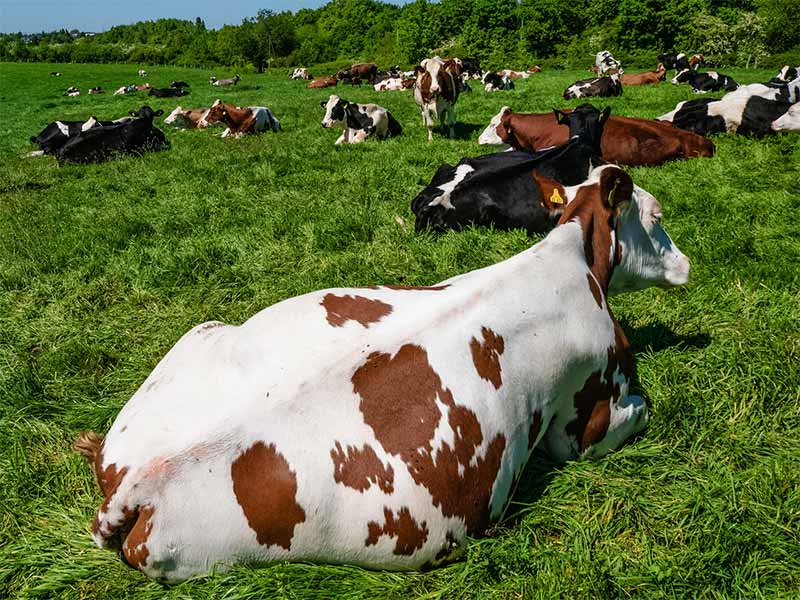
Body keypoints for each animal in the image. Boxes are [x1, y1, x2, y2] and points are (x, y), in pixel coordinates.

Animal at [75, 156, 689, 582]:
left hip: (196, 336)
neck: (570, 257)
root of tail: (133, 482)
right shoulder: (584, 421)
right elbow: (638, 412)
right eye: (657, 215)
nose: (688, 262)